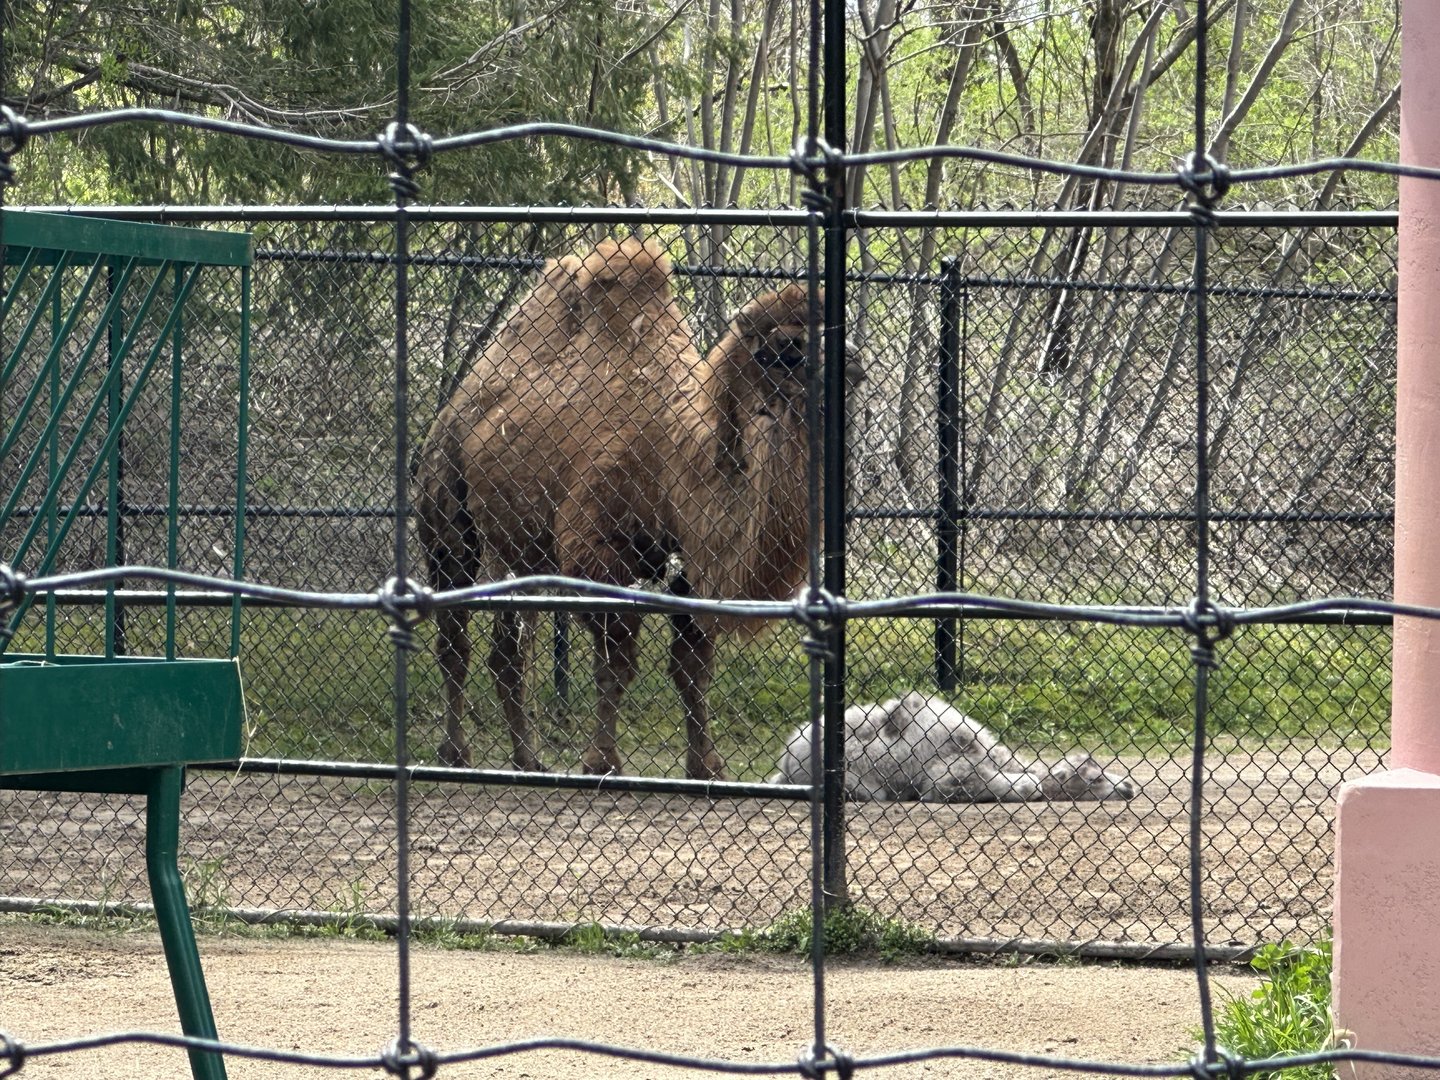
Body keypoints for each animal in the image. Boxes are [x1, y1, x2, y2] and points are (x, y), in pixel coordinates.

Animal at [416, 236, 862, 779]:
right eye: (787, 348)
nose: (855, 362)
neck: (677, 459)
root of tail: (457, 407)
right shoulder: (594, 549)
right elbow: (618, 661)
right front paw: (602, 761)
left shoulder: (690, 563)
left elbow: (692, 664)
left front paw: (706, 765)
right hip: (448, 514)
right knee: (454, 636)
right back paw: (456, 753)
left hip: (520, 548)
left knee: (510, 648)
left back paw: (528, 759)